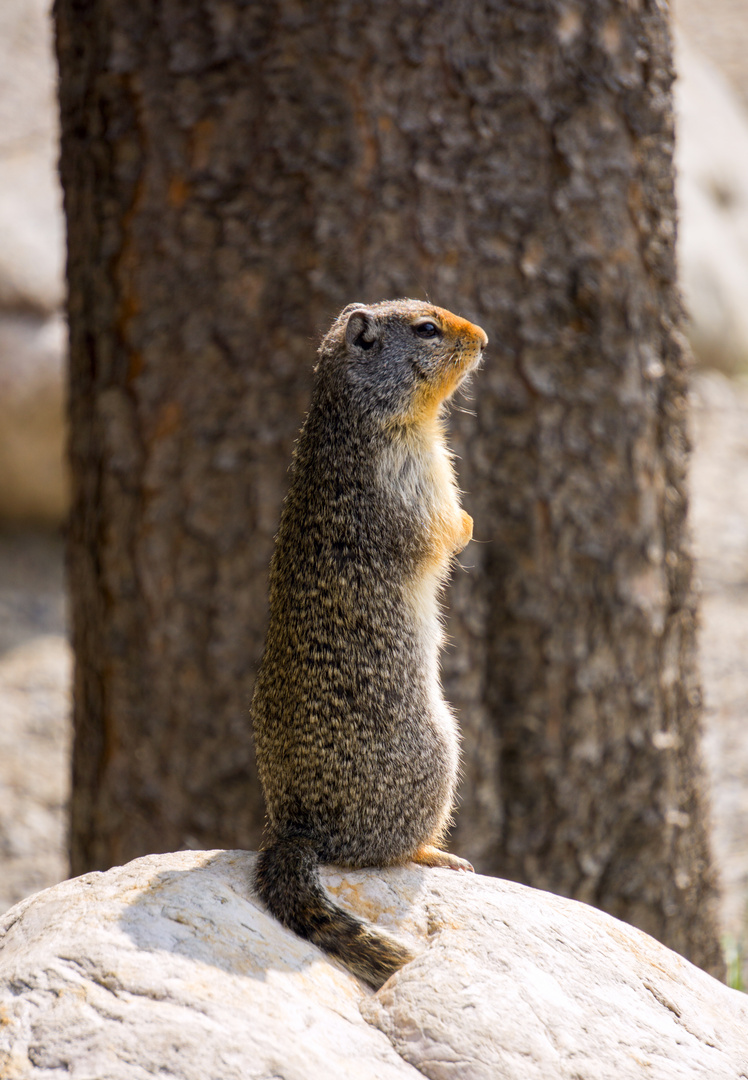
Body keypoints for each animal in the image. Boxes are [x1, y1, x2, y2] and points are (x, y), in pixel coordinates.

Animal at [252, 300, 483, 989]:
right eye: (428, 328)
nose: (484, 338)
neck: (351, 416)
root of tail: (300, 830)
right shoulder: (415, 474)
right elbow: (445, 528)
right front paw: (467, 525)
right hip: (438, 750)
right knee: (391, 853)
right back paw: (439, 854)